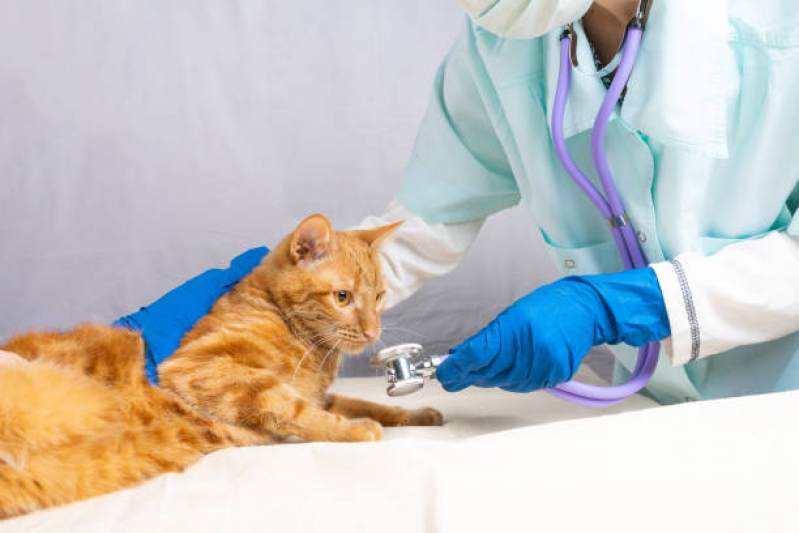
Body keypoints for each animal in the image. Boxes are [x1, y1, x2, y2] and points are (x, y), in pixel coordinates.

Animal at [0, 214, 444, 516]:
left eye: (379, 296)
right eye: (342, 297)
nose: (373, 331)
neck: (308, 346)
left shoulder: (321, 394)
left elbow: (365, 404)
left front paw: (417, 413)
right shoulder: (202, 369)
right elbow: (295, 409)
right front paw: (353, 431)